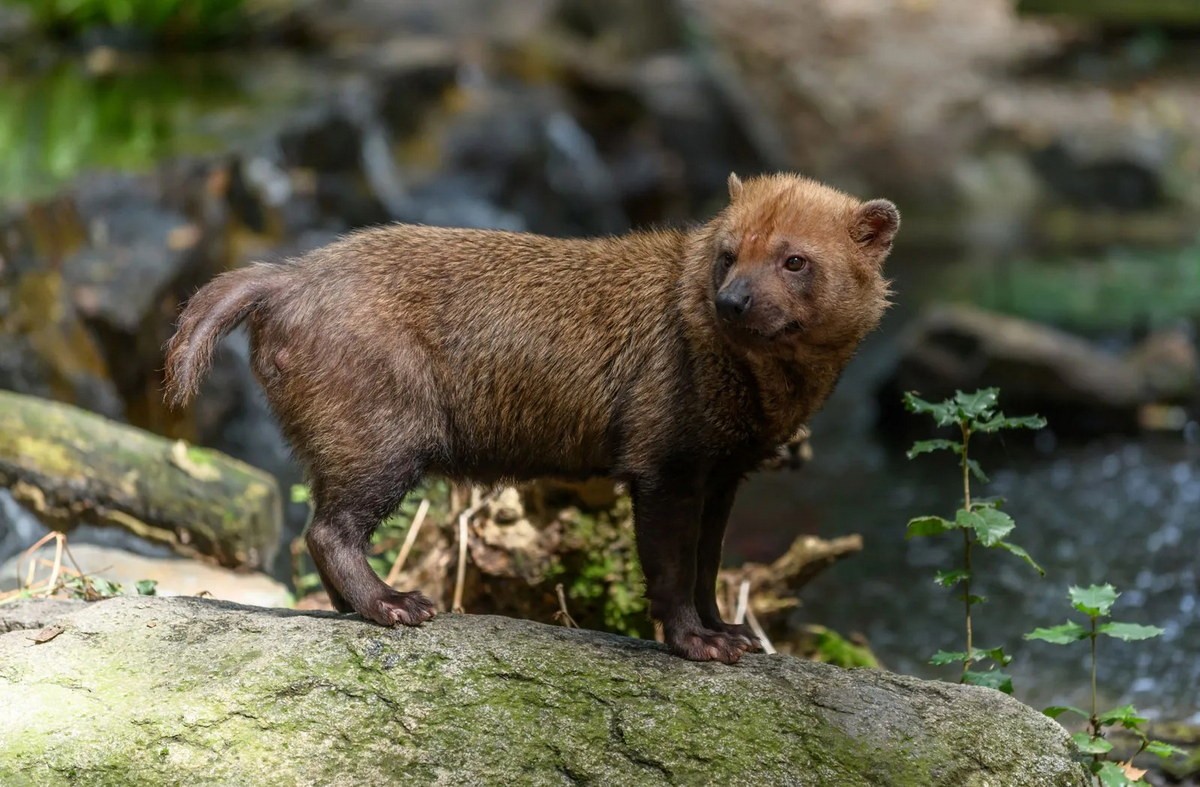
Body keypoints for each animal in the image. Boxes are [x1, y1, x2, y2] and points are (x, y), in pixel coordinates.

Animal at [169, 173, 902, 662]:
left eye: (795, 258)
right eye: (728, 251)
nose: (734, 299)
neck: (758, 397)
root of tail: (287, 274)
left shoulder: (723, 470)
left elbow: (707, 564)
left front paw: (732, 632)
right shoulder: (663, 458)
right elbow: (669, 565)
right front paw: (699, 643)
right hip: (380, 434)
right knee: (328, 530)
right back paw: (397, 604)